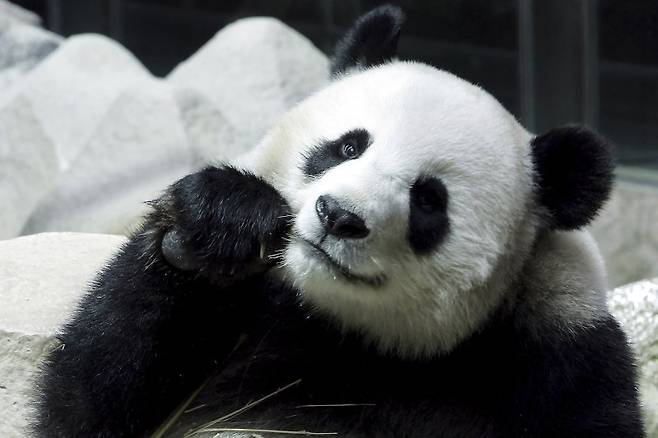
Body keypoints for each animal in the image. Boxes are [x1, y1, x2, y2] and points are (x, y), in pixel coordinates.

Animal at [34, 4, 640, 438]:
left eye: (429, 201)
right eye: (348, 146)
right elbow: (85, 403)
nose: (340, 216)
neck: (347, 333)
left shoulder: (560, 355)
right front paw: (220, 221)